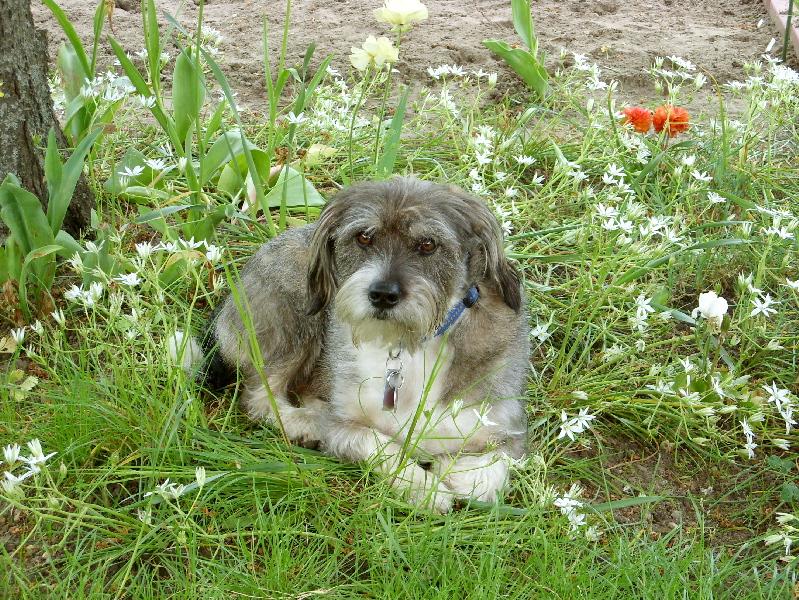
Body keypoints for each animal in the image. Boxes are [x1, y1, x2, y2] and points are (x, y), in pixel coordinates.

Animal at [198, 175, 532, 510]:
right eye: (364, 237)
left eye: (428, 244)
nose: (383, 294)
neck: (409, 345)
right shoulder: (344, 428)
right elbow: (378, 445)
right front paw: (426, 488)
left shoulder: (506, 427)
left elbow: (489, 472)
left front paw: (454, 473)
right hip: (296, 319)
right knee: (259, 397)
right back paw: (306, 422)